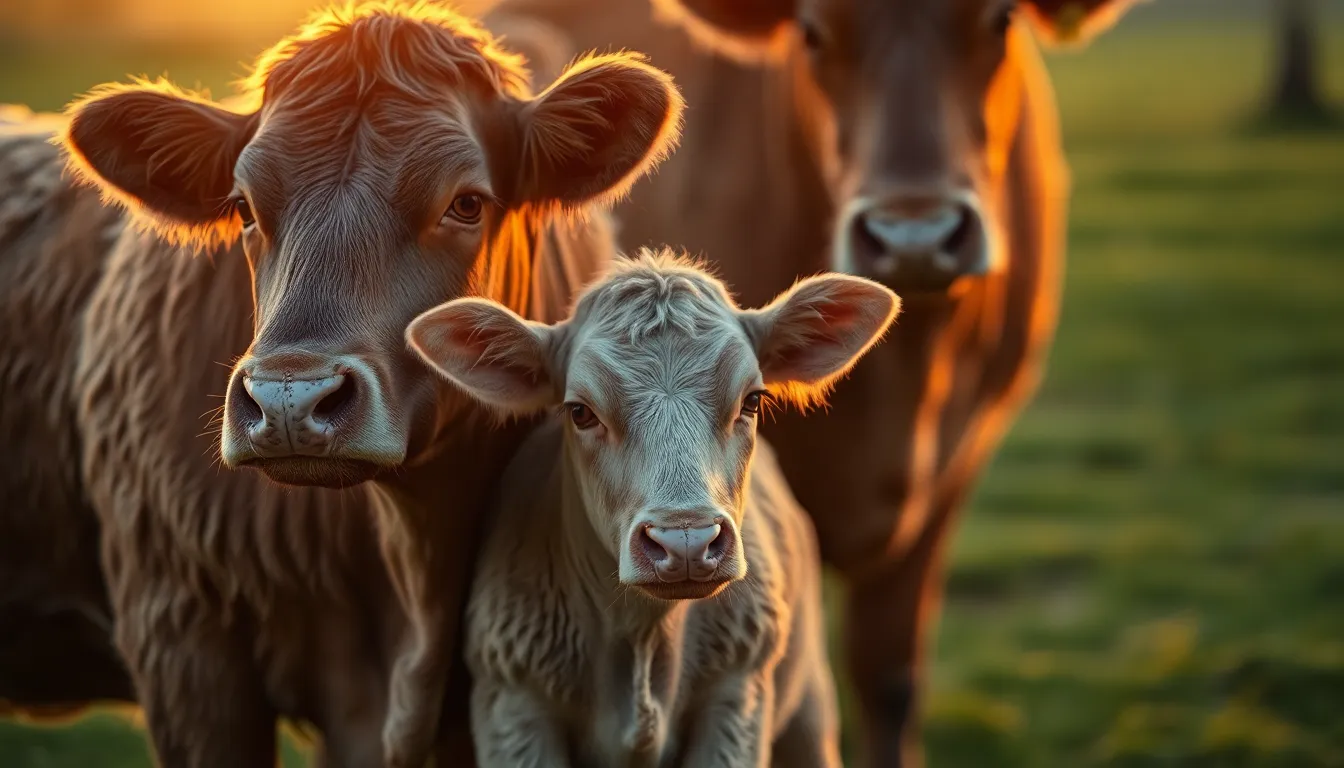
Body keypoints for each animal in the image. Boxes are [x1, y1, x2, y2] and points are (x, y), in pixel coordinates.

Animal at [406, 249, 898, 768]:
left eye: (752, 401)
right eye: (580, 412)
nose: (686, 543)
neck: (641, 635)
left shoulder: (736, 699)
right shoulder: (513, 707)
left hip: (808, 704)